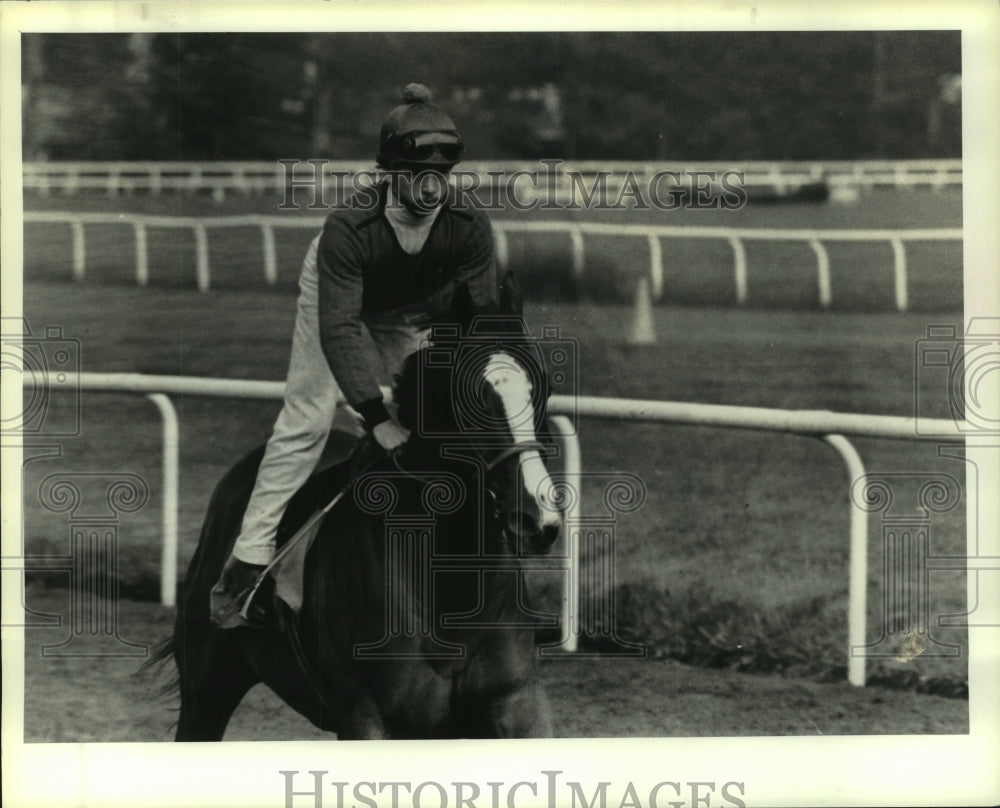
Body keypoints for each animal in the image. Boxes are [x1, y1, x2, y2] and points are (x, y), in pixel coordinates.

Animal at [154, 326, 564, 740]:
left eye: (542, 390)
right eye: (470, 400)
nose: (535, 519)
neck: (449, 595)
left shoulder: (517, 700)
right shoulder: (366, 716)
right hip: (206, 689)